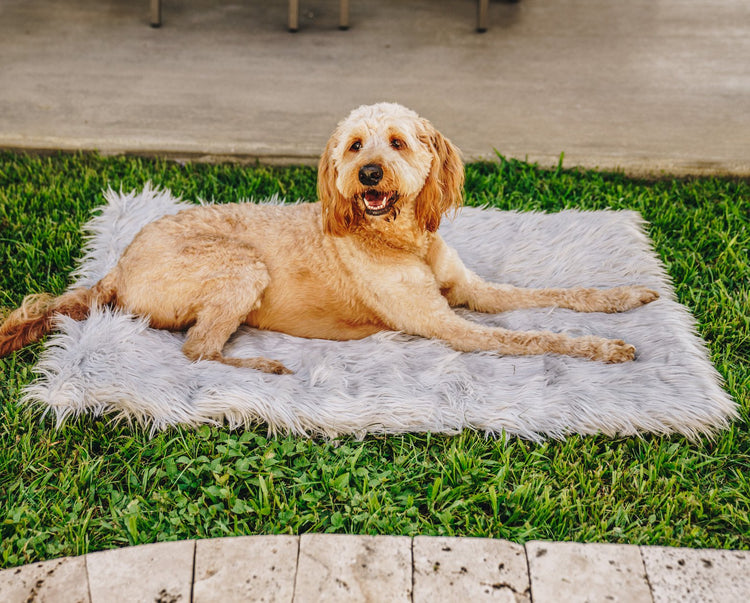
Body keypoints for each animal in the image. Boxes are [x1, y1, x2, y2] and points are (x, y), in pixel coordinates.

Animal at [0, 104, 656, 372]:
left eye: (397, 143)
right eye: (354, 146)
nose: (367, 174)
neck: (400, 240)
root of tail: (118, 264)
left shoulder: (473, 292)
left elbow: (555, 296)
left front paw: (625, 296)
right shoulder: (450, 327)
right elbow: (537, 336)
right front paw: (605, 349)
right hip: (240, 268)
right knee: (197, 351)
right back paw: (263, 365)